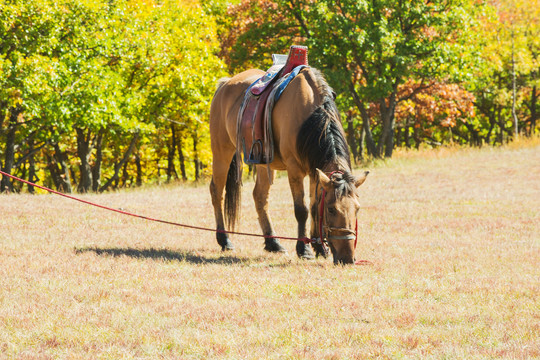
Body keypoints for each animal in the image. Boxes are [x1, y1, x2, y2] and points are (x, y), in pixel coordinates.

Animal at [209, 67, 370, 264]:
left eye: (357, 208)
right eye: (332, 209)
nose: (347, 258)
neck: (311, 115)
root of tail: (225, 84)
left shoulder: (315, 171)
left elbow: (314, 207)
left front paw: (318, 247)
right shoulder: (295, 170)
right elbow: (302, 210)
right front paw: (304, 249)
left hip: (262, 163)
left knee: (259, 196)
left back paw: (273, 243)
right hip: (221, 152)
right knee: (217, 192)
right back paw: (224, 240)